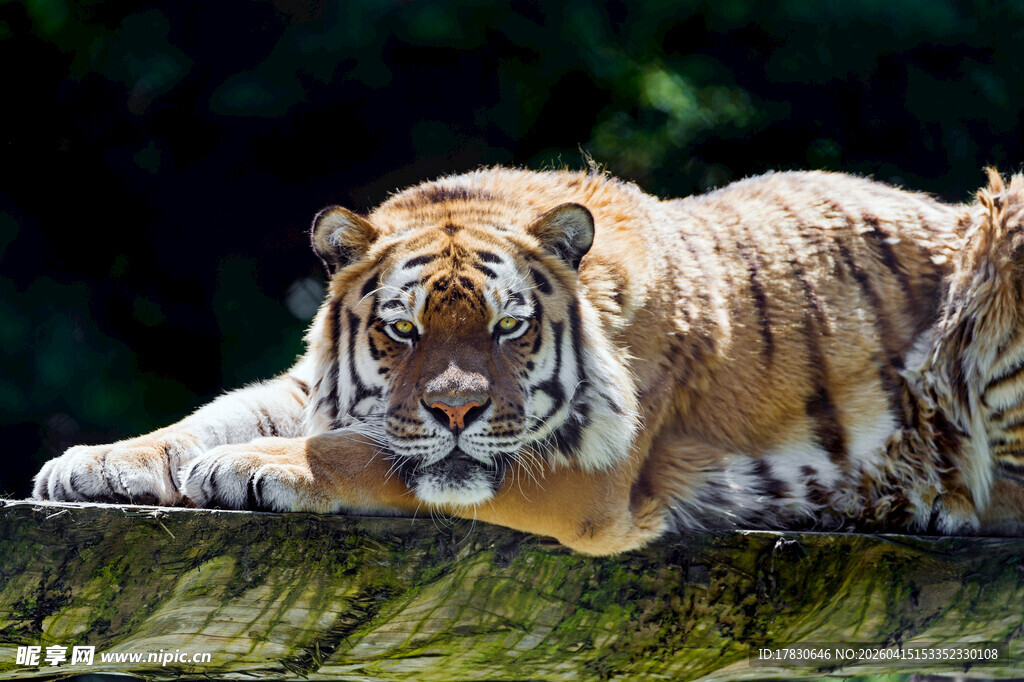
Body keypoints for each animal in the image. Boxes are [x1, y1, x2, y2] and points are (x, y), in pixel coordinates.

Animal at [32, 166, 1024, 555]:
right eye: (402, 331)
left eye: (509, 329)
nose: (457, 411)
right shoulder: (318, 385)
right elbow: (218, 412)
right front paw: (92, 462)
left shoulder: (589, 475)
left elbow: (370, 454)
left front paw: (248, 465)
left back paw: (934, 494)